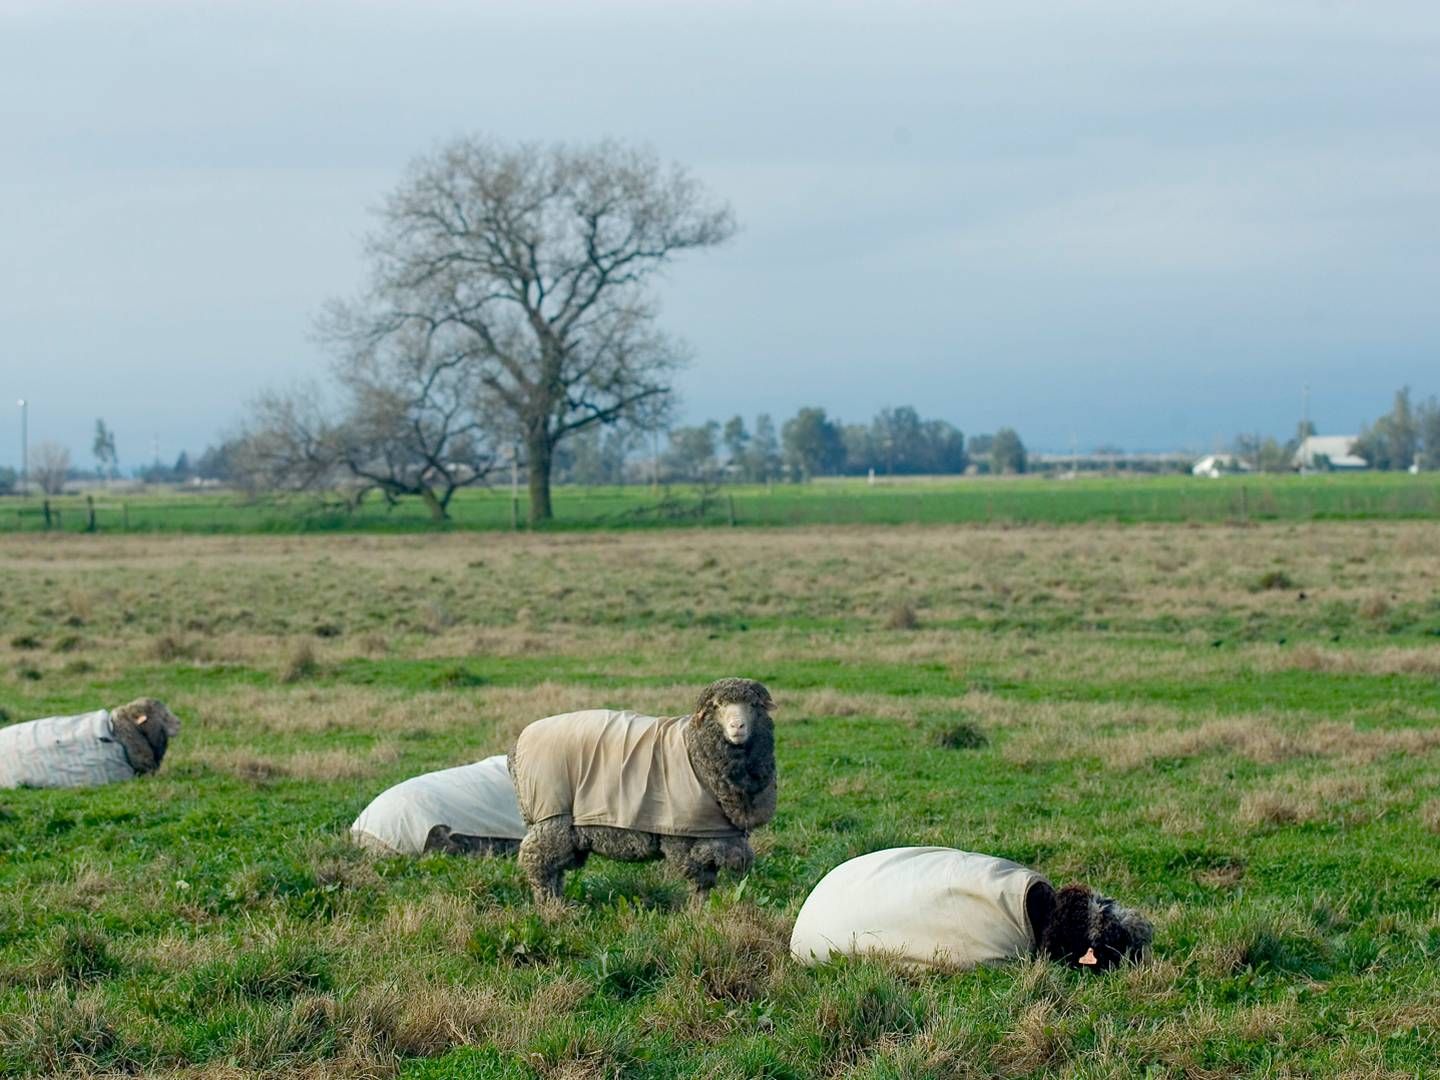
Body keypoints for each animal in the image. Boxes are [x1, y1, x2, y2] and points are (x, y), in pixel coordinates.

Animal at [506, 676, 777, 904]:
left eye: (753, 705)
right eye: (718, 706)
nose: (737, 726)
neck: (695, 751)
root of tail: (518, 743)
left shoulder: (720, 833)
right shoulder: (681, 836)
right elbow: (700, 878)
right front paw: (698, 911)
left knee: (554, 867)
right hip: (552, 818)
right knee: (538, 861)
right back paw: (551, 906)